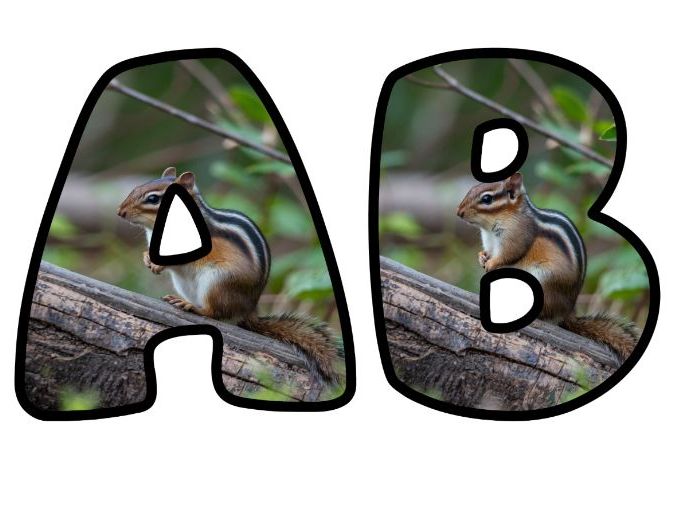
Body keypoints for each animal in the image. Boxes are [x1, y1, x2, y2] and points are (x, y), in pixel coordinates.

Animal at [117, 166, 341, 383]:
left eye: (153, 199)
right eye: (136, 187)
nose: (120, 212)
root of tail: (249, 309)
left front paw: (157, 264)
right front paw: (147, 258)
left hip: (217, 281)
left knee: (215, 313)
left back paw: (192, 307)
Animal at [456, 172, 639, 362]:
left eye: (487, 199)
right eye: (472, 188)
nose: (459, 212)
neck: (490, 228)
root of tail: (568, 311)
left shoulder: (516, 236)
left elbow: (510, 254)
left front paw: (491, 263)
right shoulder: (490, 242)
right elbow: (488, 252)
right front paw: (482, 258)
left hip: (543, 280)